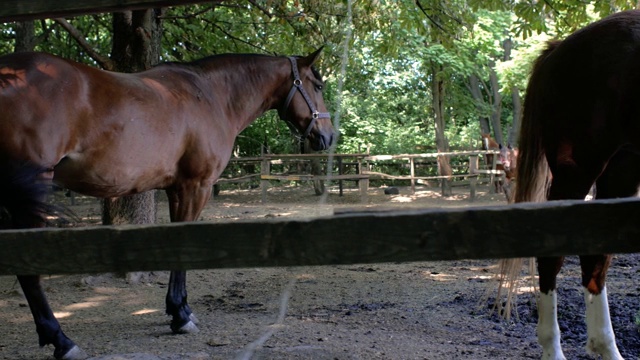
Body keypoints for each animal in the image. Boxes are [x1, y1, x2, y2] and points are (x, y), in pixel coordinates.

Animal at [0, 48, 338, 360]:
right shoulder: (195, 186)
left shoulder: (176, 189)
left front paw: (180, 310)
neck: (213, 95)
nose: (329, 136)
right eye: (318, 85)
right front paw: (181, 316)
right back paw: (61, 341)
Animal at [500, 9, 640, 358]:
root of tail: (559, 49)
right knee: (553, 256)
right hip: (577, 171)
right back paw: (553, 347)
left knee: (594, 257)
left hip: (623, 170)